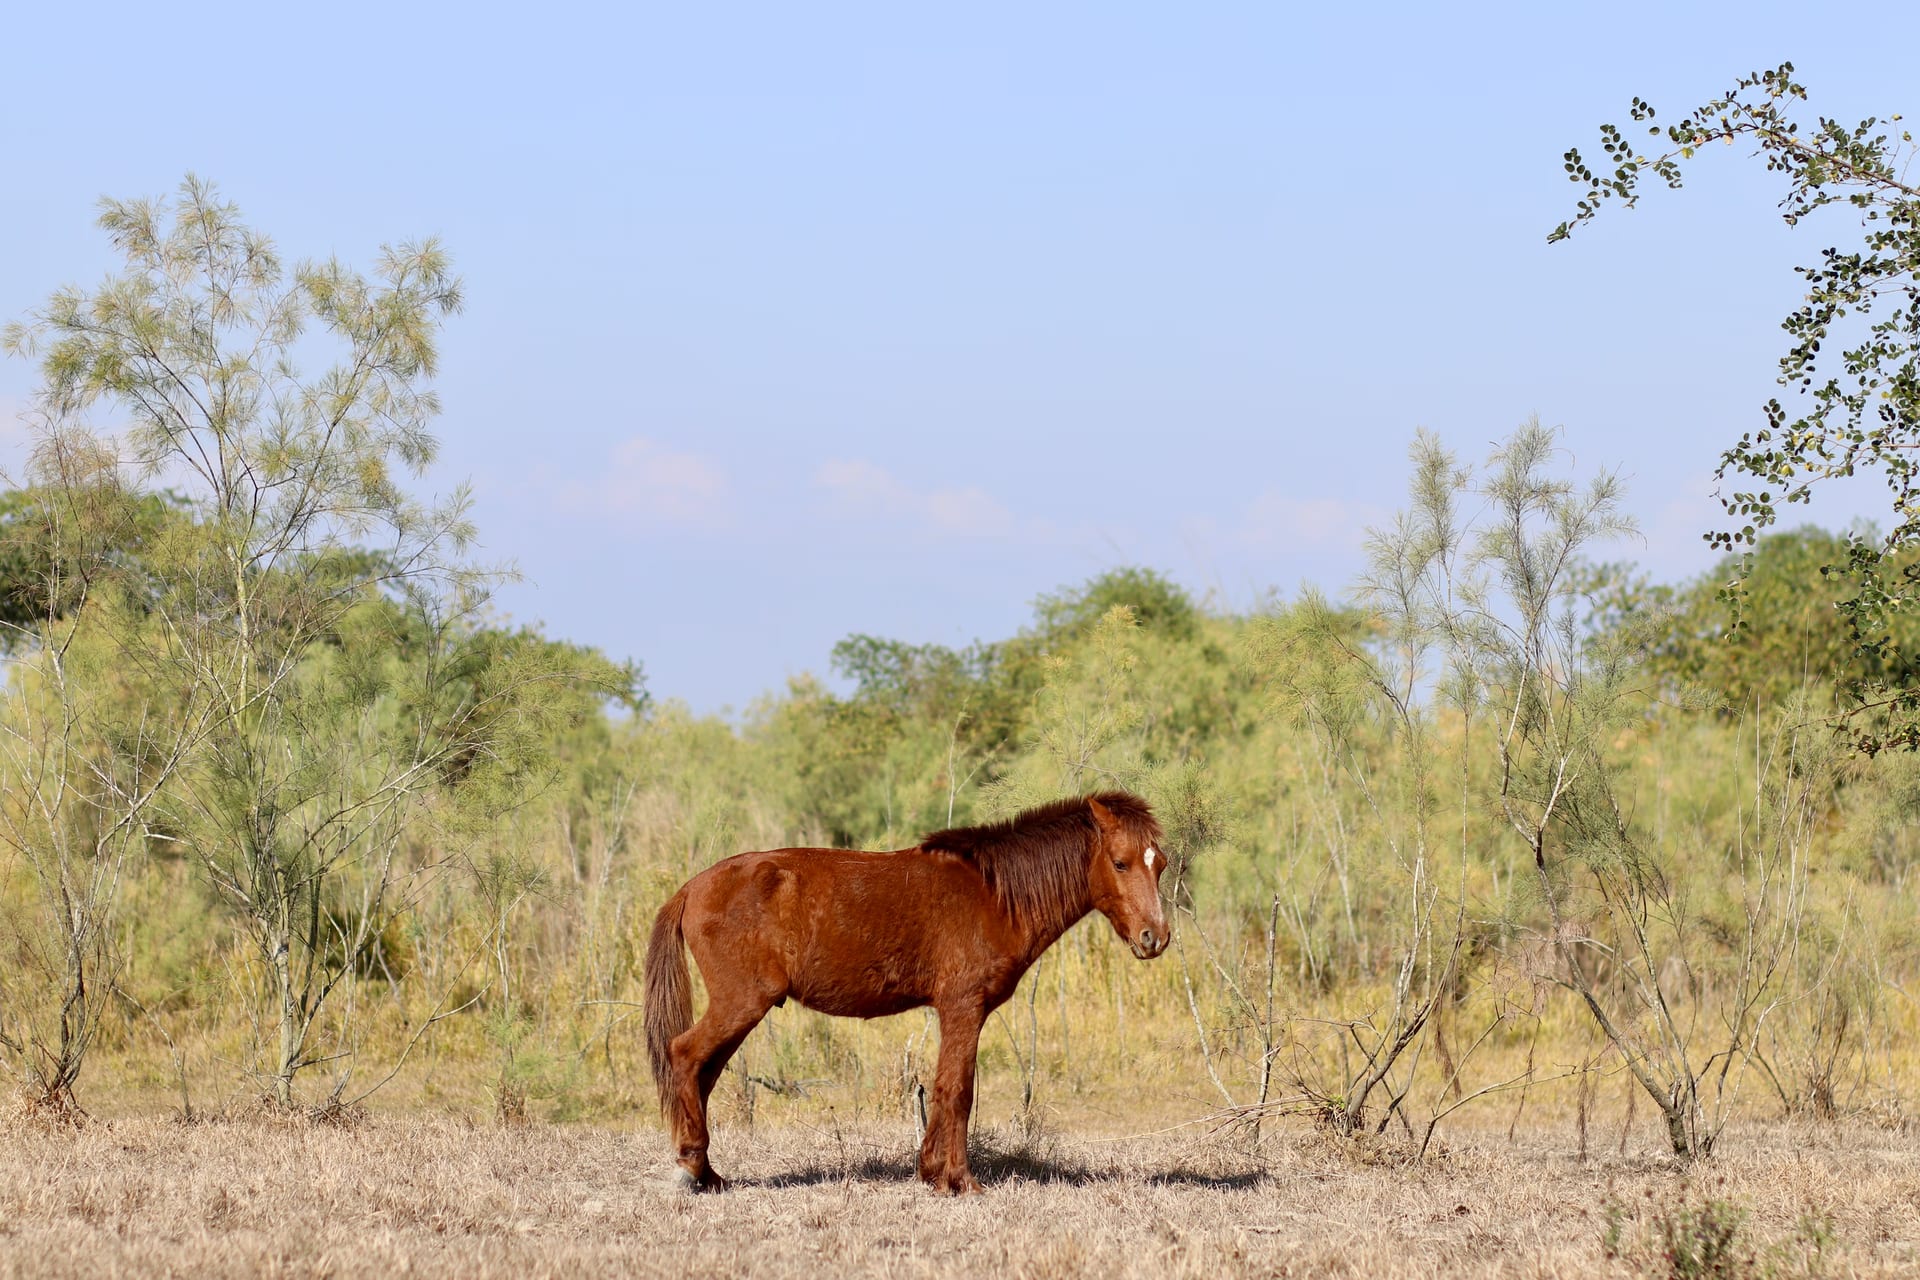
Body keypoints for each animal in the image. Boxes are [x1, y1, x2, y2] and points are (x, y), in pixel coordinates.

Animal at [643, 791, 1169, 1194]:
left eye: (1159, 864)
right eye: (1121, 863)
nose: (1155, 938)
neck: (993, 894)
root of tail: (691, 888)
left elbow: (946, 1087)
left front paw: (931, 1172)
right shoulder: (963, 1008)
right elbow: (957, 1090)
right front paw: (960, 1182)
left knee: (703, 1073)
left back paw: (710, 1175)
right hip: (741, 1003)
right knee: (685, 1055)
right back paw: (690, 1166)